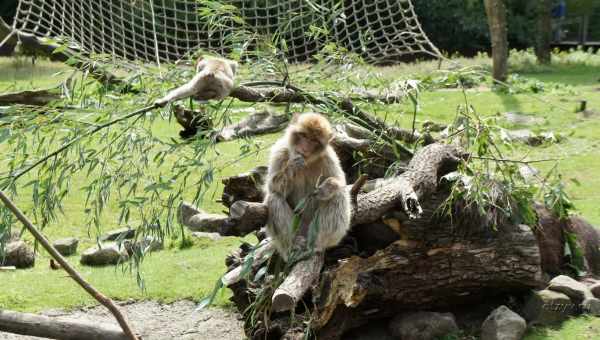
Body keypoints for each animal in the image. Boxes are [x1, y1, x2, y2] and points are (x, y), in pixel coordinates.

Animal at [264, 113, 352, 258]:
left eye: (314, 140)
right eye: (304, 136)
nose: (304, 148)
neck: (307, 161)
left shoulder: (329, 157)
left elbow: (340, 182)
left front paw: (325, 190)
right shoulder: (280, 152)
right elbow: (273, 187)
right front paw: (292, 166)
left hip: (314, 227)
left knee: (337, 195)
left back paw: (318, 243)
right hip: (298, 229)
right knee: (273, 198)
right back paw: (293, 244)